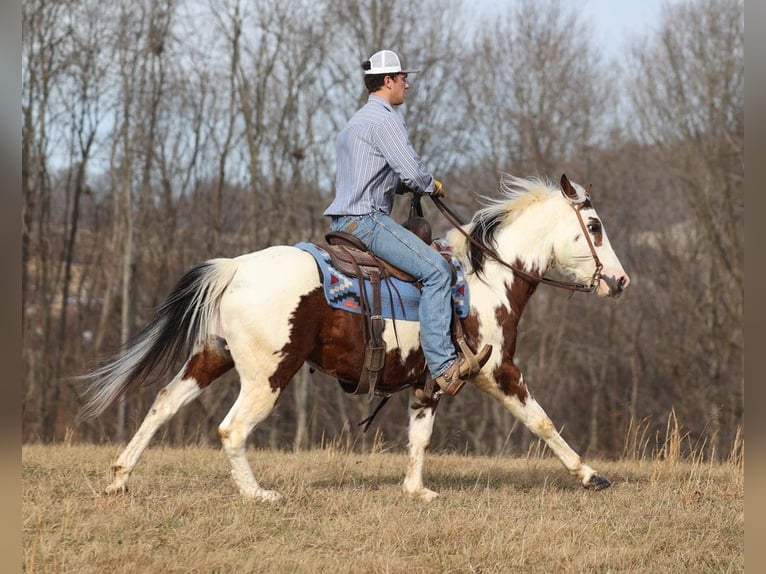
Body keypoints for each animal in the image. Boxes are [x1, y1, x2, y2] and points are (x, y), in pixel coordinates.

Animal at [76, 174, 632, 504]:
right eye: (595, 226)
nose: (621, 281)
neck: (484, 279)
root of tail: (235, 268)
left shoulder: (429, 381)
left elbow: (419, 435)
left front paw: (416, 490)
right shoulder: (497, 370)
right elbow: (541, 420)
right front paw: (591, 476)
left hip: (212, 358)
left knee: (163, 403)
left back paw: (120, 476)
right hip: (267, 375)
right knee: (231, 430)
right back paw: (259, 495)